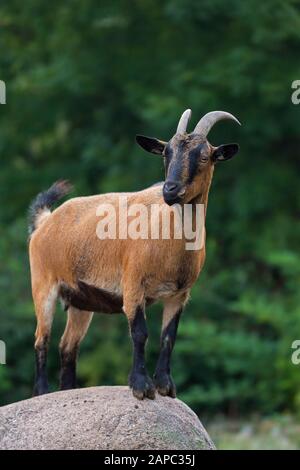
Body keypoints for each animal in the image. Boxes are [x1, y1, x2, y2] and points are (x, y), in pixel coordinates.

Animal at [28, 108, 239, 398]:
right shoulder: (132, 284)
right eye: (166, 153)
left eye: (205, 156)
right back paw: (43, 392)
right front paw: (141, 386)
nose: (170, 189)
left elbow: (168, 336)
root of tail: (45, 221)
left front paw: (166, 386)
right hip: (43, 284)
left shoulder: (179, 295)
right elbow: (140, 333)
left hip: (81, 301)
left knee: (67, 346)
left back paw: (69, 390)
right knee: (41, 339)